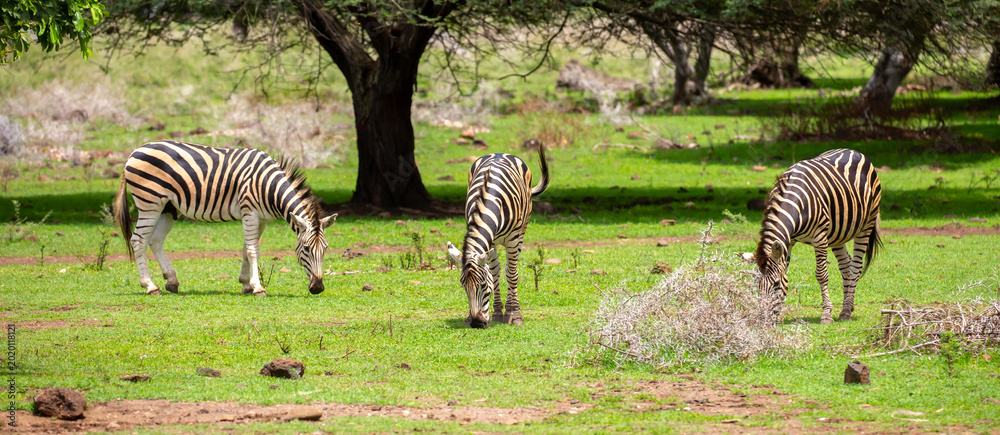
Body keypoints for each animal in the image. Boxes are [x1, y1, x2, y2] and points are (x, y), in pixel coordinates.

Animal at [113, 140, 335, 296]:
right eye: (305, 248)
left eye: (325, 249)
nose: (317, 288)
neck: (268, 186)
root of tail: (135, 151)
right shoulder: (249, 211)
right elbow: (253, 250)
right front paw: (258, 288)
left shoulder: (261, 219)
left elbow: (246, 248)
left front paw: (246, 284)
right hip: (149, 202)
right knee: (138, 240)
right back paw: (150, 286)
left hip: (168, 207)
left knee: (156, 240)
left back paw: (172, 281)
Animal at [447, 146, 550, 328]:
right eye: (463, 286)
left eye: (482, 285)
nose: (477, 323)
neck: (487, 203)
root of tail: (500, 153)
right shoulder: (491, 241)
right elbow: (494, 272)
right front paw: (495, 313)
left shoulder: (513, 238)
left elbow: (511, 274)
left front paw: (514, 314)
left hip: (521, 232)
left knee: (511, 269)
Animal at [752, 148, 882, 323]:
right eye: (756, 286)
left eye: (776, 284)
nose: (762, 320)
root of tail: (853, 151)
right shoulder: (789, 240)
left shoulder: (819, 236)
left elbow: (821, 275)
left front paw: (826, 314)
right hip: (837, 233)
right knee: (846, 265)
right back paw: (848, 306)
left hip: (866, 225)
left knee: (856, 266)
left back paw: (846, 311)